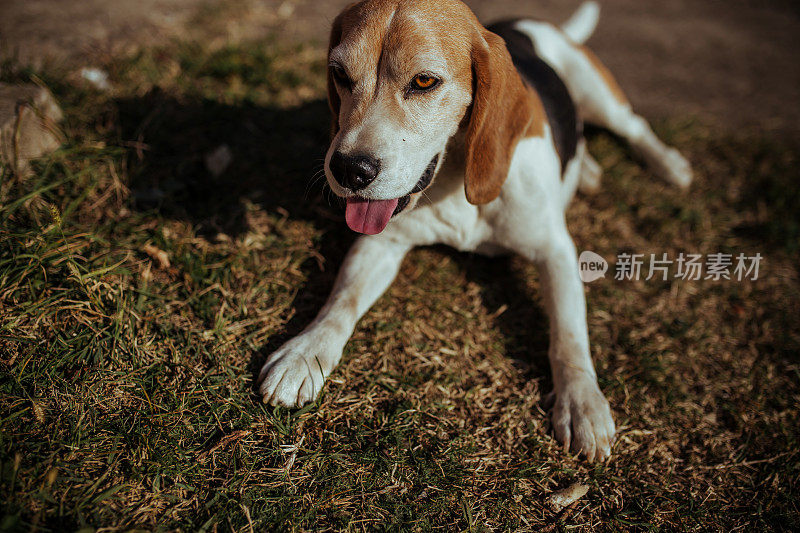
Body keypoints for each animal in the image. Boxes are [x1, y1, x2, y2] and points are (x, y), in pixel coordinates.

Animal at [260, 0, 692, 460]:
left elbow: (569, 333)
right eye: (340, 74)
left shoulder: (555, 249)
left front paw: (581, 401)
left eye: (424, 81)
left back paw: (669, 165)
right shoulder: (385, 243)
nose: (348, 170)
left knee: (635, 126)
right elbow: (341, 301)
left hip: (599, 95)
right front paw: (305, 352)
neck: (455, 177)